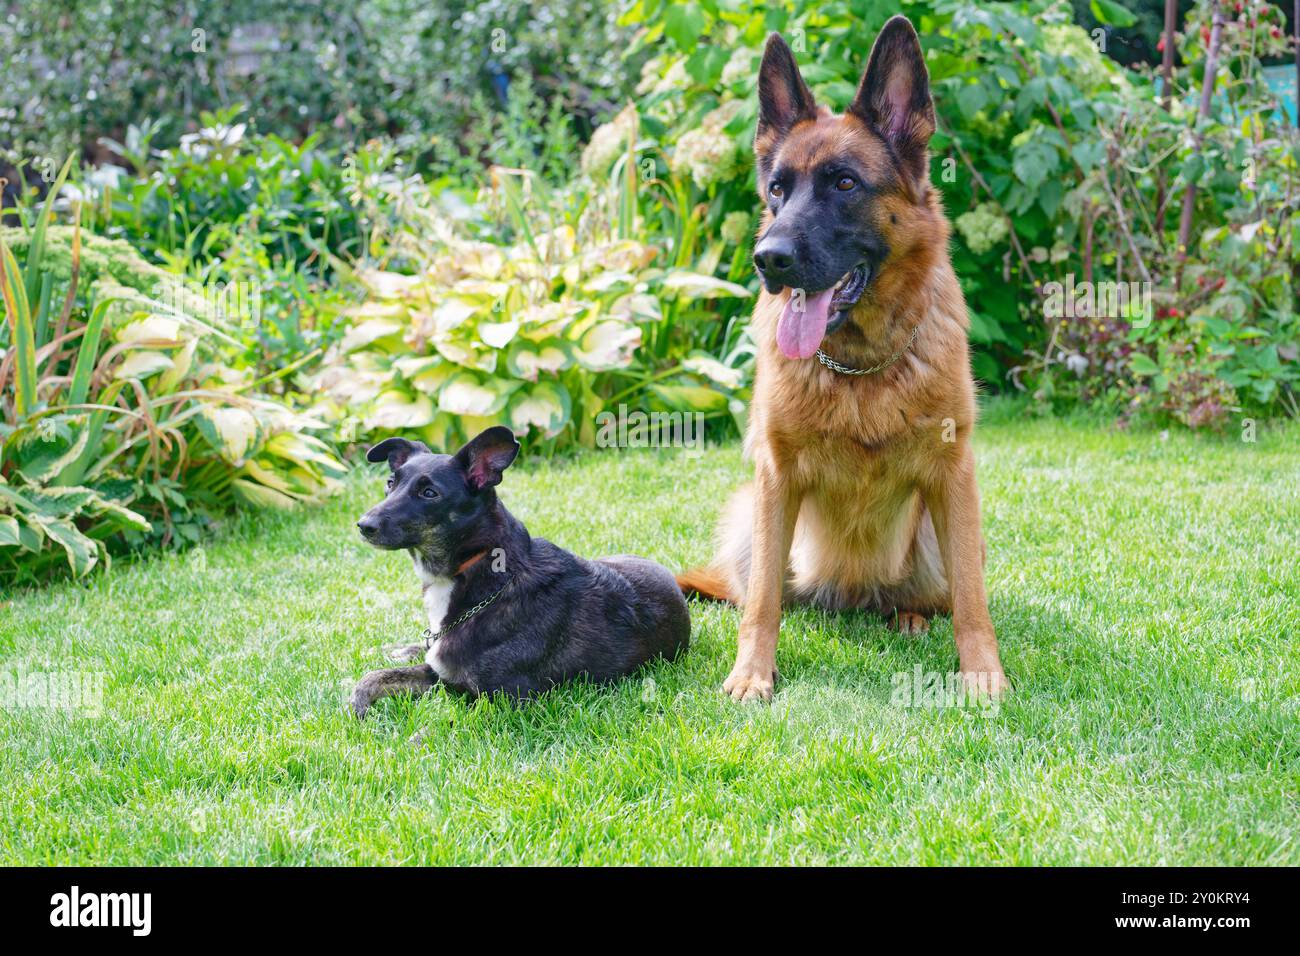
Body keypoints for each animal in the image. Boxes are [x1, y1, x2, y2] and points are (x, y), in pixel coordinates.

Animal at [345, 429, 691, 717]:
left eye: (429, 493)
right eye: (390, 484)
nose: (363, 525)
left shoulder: (508, 701)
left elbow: (445, 721)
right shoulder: (440, 670)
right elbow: (374, 676)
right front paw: (357, 702)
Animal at [676, 14, 1008, 702]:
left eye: (845, 184)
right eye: (778, 189)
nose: (769, 259)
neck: (861, 367)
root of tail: (852, 597)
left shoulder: (953, 474)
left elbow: (972, 600)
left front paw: (982, 673)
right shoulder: (775, 478)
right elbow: (761, 604)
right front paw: (752, 674)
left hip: (935, 533)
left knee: (932, 595)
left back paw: (908, 615)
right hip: (750, 515)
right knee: (767, 592)